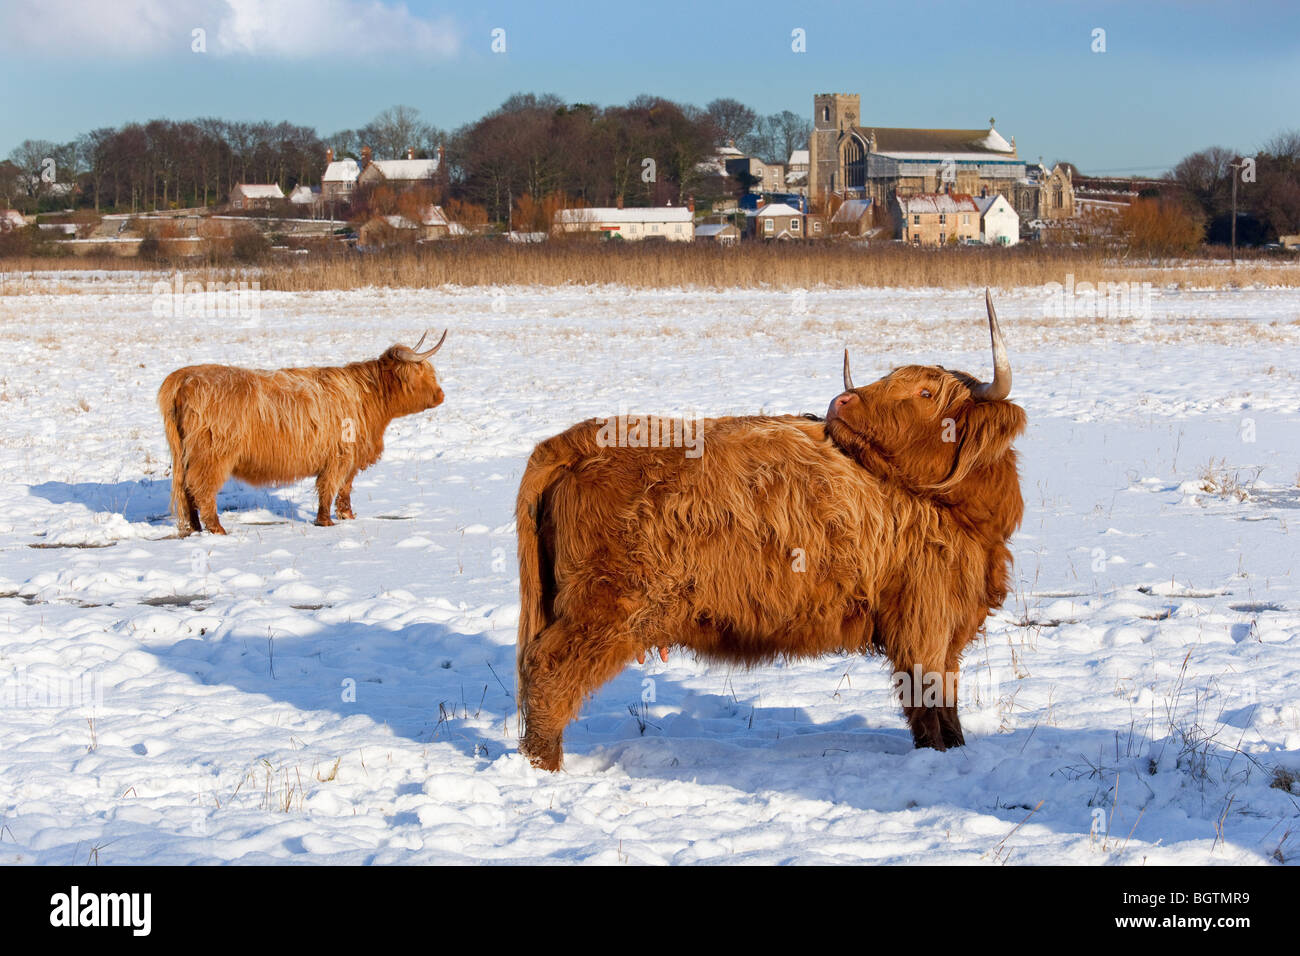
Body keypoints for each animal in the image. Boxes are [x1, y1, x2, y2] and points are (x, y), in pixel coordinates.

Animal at [158, 332, 447, 535]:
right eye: (423, 373)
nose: (441, 395)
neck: (369, 398)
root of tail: (185, 377)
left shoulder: (349, 458)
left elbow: (345, 488)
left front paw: (347, 516)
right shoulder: (339, 456)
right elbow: (329, 487)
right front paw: (326, 521)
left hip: (187, 455)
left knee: (185, 489)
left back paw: (194, 528)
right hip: (212, 456)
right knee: (201, 489)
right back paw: (217, 529)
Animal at [514, 291, 1024, 770]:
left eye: (924, 393)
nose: (841, 400)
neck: (967, 516)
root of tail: (575, 440)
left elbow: (946, 703)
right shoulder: (924, 616)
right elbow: (930, 703)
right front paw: (941, 757)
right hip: (605, 604)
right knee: (548, 672)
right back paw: (545, 767)